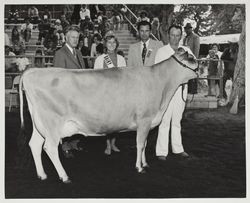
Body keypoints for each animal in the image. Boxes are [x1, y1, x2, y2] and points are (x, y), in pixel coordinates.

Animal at [19, 47, 198, 182]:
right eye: (190, 58)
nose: (200, 65)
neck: (161, 84)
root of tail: (32, 72)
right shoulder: (145, 120)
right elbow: (140, 144)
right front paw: (139, 167)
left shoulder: (148, 123)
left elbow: (145, 143)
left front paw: (145, 163)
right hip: (52, 123)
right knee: (49, 147)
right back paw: (64, 176)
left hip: (40, 123)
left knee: (35, 144)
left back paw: (42, 174)